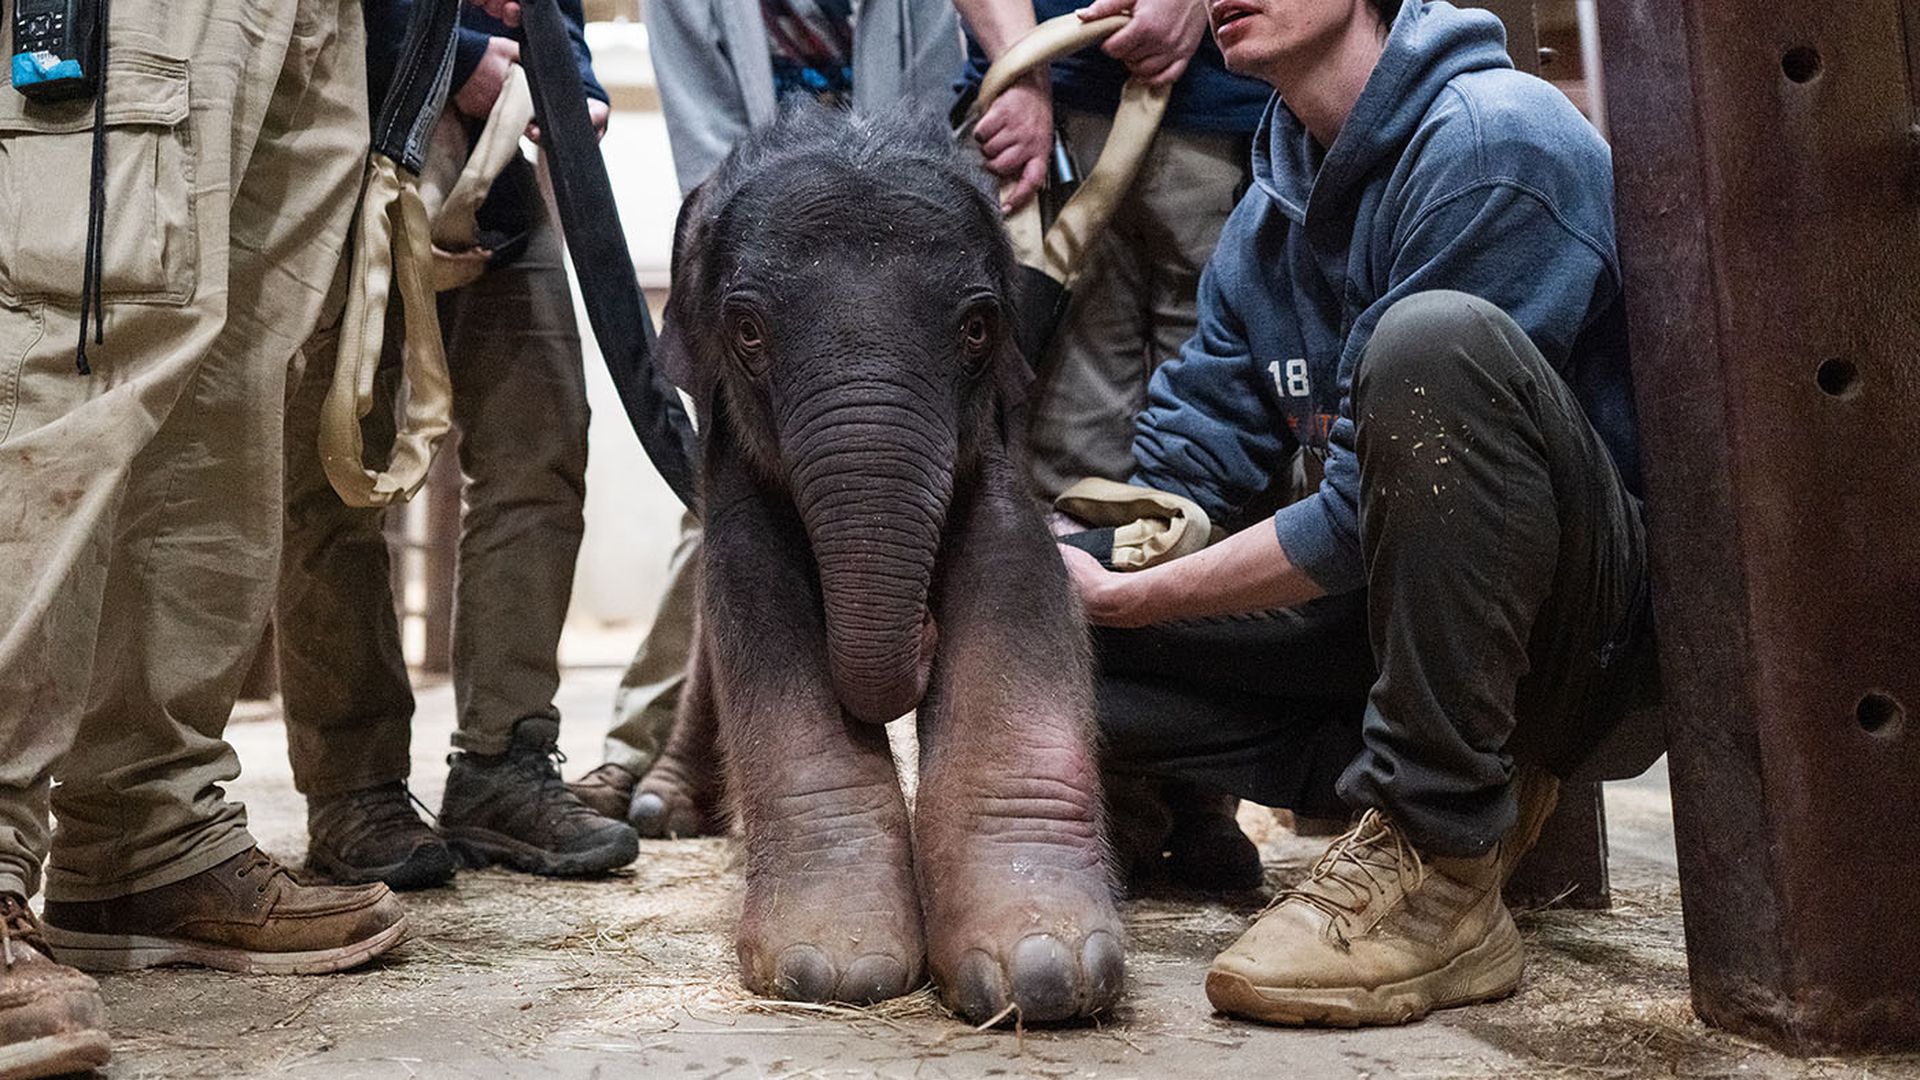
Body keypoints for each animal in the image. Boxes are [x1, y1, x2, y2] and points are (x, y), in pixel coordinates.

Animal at [652, 105, 1125, 1025]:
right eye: (748, 332)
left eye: (977, 329)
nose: (923, 633)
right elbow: (754, 595)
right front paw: (832, 967)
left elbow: (1015, 574)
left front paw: (1047, 968)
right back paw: (659, 805)